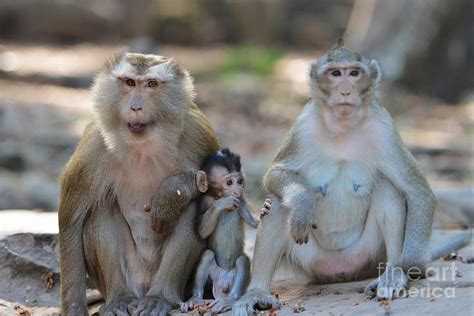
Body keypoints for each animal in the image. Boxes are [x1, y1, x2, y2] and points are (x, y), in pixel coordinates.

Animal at [58, 53, 220, 314]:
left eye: (151, 84)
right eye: (129, 82)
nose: (135, 107)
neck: (143, 146)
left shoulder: (199, 133)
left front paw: (170, 195)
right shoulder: (93, 148)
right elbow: (70, 220)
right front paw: (74, 308)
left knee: (194, 206)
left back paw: (160, 297)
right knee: (100, 208)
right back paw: (119, 299)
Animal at [179, 148, 260, 314]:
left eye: (239, 181)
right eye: (229, 182)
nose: (238, 189)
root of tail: (224, 280)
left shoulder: (240, 200)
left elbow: (251, 221)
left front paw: (264, 212)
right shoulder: (206, 201)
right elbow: (202, 231)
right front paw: (221, 204)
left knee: (242, 260)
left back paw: (230, 300)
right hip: (214, 275)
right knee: (208, 254)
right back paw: (195, 298)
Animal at [233, 38, 436, 314]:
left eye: (354, 73)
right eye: (336, 74)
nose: (346, 92)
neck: (342, 126)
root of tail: (339, 269)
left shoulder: (384, 128)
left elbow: (418, 192)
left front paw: (409, 266)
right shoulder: (303, 125)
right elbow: (276, 174)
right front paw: (303, 203)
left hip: (367, 256)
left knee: (387, 186)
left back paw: (392, 274)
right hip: (310, 261)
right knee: (278, 203)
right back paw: (256, 293)